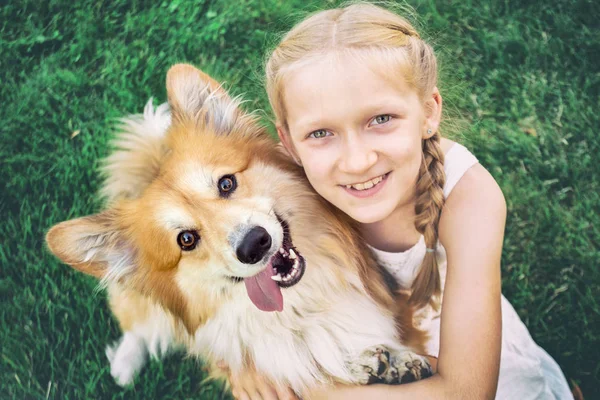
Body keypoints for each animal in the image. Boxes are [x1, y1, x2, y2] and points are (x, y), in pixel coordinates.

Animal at [45, 65, 432, 394]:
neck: (303, 306)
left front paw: (387, 361)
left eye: (227, 183)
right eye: (186, 240)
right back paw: (124, 366)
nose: (254, 245)